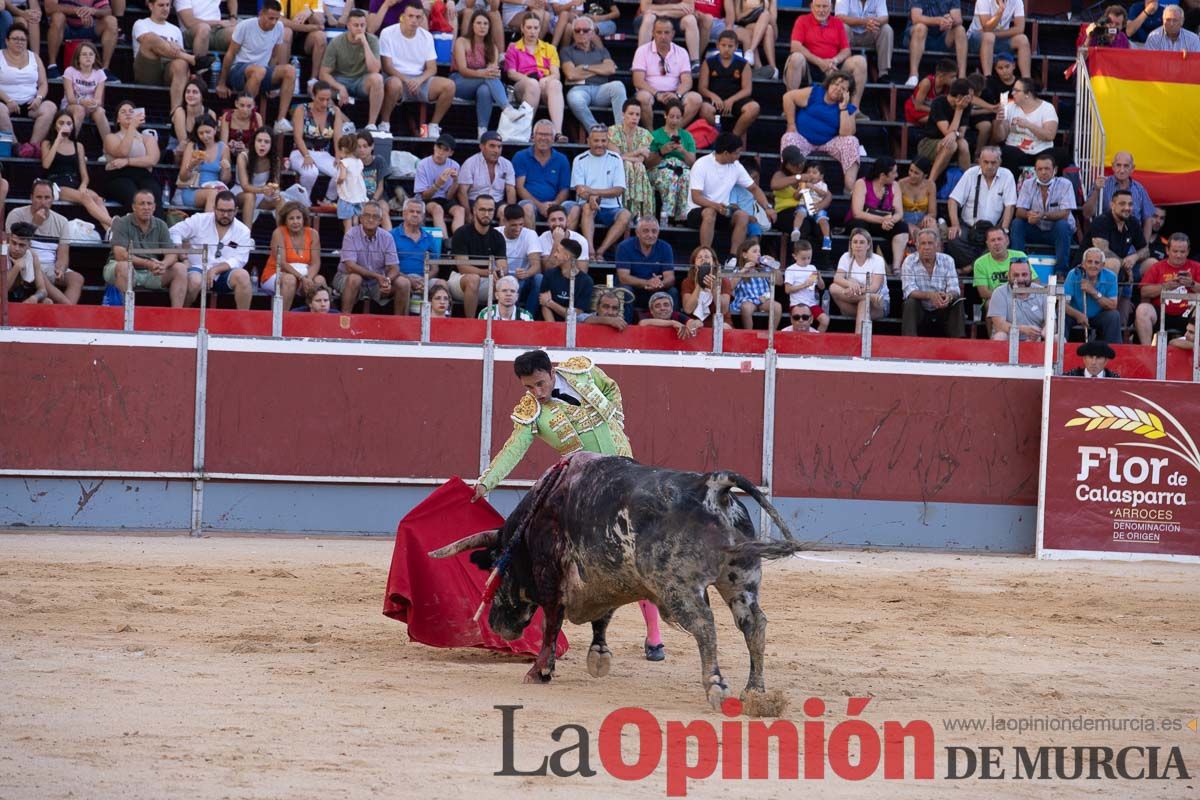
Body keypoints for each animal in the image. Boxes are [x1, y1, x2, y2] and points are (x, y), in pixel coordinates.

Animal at [432, 453, 806, 710]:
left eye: (498, 568)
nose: (496, 624)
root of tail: (711, 485)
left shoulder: (551, 578)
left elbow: (552, 625)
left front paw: (539, 671)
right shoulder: (607, 578)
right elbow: (603, 618)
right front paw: (598, 655)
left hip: (679, 587)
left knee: (704, 625)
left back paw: (716, 686)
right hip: (741, 579)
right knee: (753, 623)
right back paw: (755, 691)